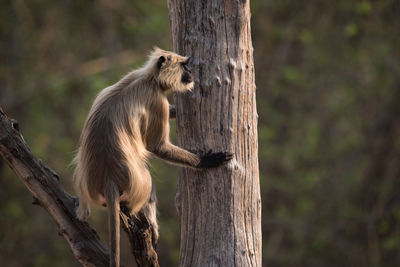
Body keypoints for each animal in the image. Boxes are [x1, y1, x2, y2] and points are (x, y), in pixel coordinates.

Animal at [72, 47, 231, 266]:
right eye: (185, 66)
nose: (191, 73)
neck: (150, 79)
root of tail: (109, 180)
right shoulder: (157, 101)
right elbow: (157, 146)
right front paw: (204, 161)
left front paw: (175, 111)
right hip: (137, 185)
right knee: (147, 179)